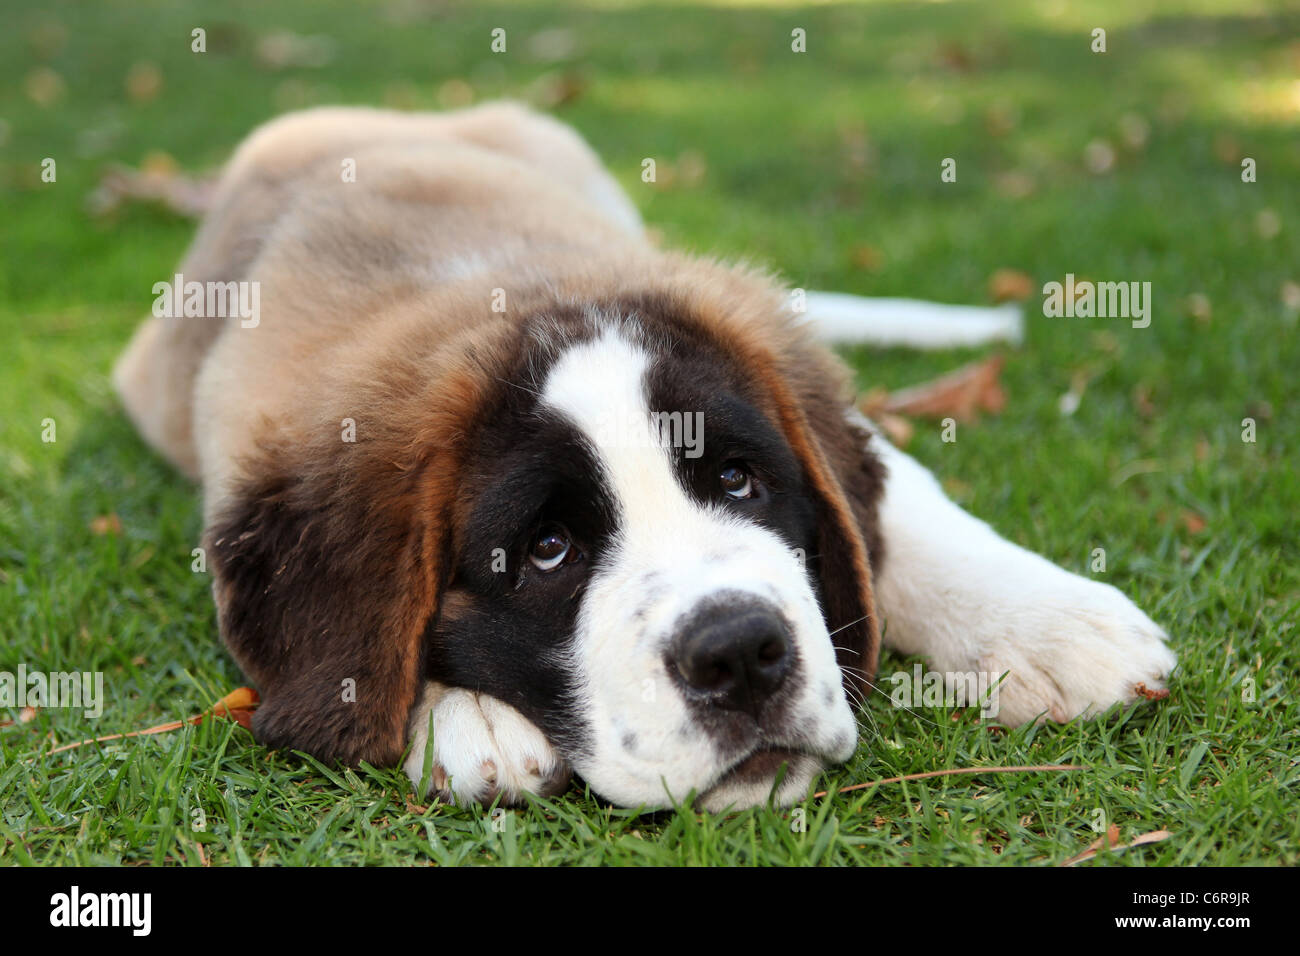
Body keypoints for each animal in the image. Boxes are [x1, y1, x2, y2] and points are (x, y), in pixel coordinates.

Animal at [114, 102, 1180, 806]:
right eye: (547, 550)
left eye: (739, 481)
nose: (741, 653)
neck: (498, 288)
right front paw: (460, 717)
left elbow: (904, 512)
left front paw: (1051, 624)